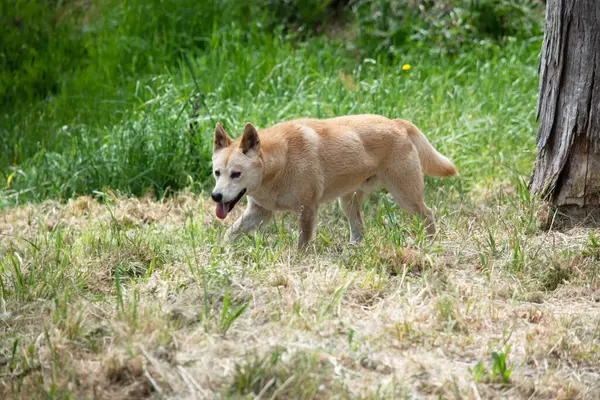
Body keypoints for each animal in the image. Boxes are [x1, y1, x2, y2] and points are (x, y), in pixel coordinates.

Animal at [209, 114, 458, 248]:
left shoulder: (307, 209)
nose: (215, 196)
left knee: (427, 213)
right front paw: (221, 252)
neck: (278, 164)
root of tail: (396, 122)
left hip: (405, 196)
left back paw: (430, 242)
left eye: (236, 174)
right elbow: (229, 233)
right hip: (347, 203)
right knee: (360, 230)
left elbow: (302, 243)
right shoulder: (259, 212)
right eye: (217, 173)